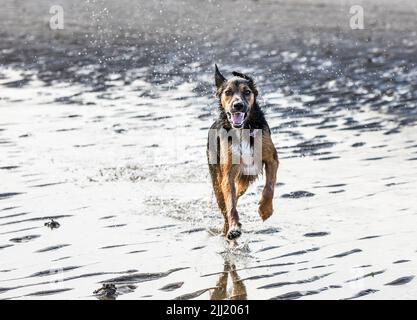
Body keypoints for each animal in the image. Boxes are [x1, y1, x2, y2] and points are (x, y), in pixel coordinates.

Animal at [206, 65, 278, 240]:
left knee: (238, 193)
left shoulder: (272, 159)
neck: (243, 129)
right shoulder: (228, 173)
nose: (237, 105)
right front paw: (233, 228)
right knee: (225, 205)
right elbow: (230, 204)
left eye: (247, 92)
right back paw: (227, 228)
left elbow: (269, 187)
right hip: (217, 181)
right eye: (228, 92)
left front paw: (265, 209)